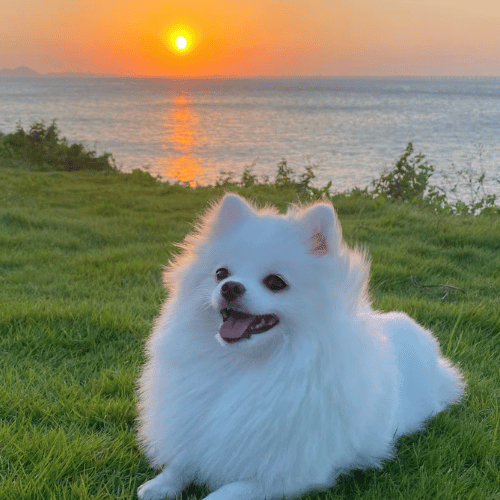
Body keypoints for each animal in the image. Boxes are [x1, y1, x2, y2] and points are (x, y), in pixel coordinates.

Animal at [136, 194, 464, 500]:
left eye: (275, 282)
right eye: (220, 273)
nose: (229, 287)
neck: (242, 365)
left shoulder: (284, 475)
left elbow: (222, 493)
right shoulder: (194, 429)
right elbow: (182, 461)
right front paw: (159, 484)